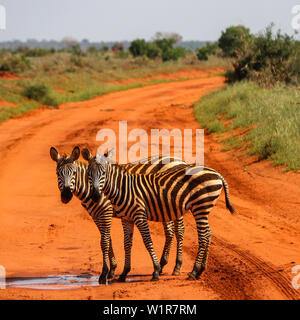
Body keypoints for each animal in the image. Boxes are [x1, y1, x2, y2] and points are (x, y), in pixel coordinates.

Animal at [49, 145, 185, 282]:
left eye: (74, 173)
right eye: (57, 173)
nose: (66, 196)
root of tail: (179, 160)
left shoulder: (106, 211)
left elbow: (104, 241)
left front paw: (105, 273)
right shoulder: (96, 215)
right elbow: (107, 240)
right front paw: (112, 270)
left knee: (179, 230)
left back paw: (177, 266)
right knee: (170, 232)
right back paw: (162, 265)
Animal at [83, 149, 236, 282]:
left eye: (103, 172)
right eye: (88, 173)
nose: (95, 196)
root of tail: (217, 174)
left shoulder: (111, 213)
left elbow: (115, 241)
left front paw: (109, 272)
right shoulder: (125, 217)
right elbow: (124, 243)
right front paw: (121, 273)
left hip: (198, 206)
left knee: (196, 235)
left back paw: (190, 270)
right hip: (193, 208)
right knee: (205, 233)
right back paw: (197, 270)